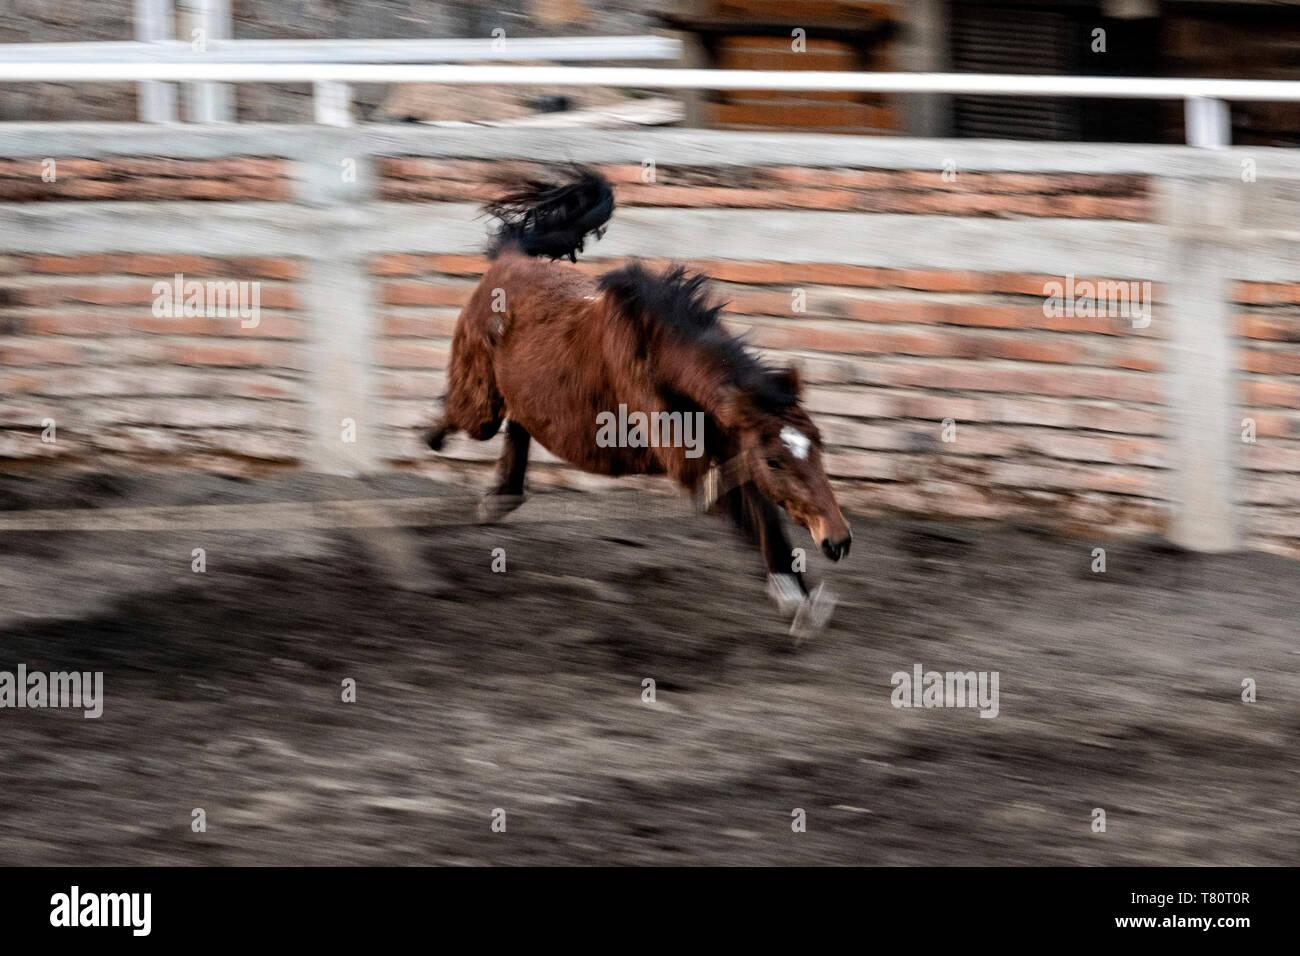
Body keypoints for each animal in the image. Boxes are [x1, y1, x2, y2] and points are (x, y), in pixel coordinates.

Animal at [426, 167, 852, 639]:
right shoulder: (693, 464)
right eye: (775, 460)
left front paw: (802, 599)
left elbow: (764, 517)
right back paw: (434, 439)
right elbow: (753, 513)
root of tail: (510, 257)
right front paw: (796, 600)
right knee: (466, 413)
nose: (838, 540)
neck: (661, 359)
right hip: (480, 406)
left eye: (818, 444)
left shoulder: (729, 449)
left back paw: (500, 497)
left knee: (519, 425)